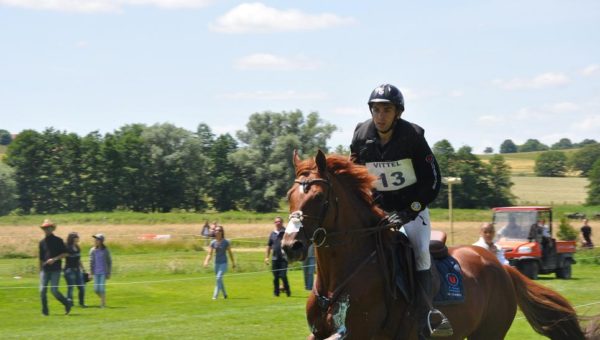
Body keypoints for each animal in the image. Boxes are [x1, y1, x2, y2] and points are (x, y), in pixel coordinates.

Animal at [282, 151, 592, 340]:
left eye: (318, 197)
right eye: (289, 195)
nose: (290, 245)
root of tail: (503, 268)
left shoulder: (358, 332)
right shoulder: (320, 332)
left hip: (488, 332)